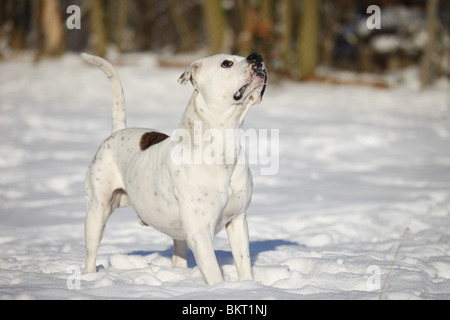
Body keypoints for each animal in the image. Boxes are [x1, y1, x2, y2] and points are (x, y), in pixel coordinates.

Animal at [81, 52, 268, 284]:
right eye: (226, 63)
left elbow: (244, 263)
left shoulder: (238, 221)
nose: (257, 56)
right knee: (91, 251)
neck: (222, 146)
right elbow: (214, 273)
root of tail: (117, 132)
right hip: (96, 213)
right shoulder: (200, 232)